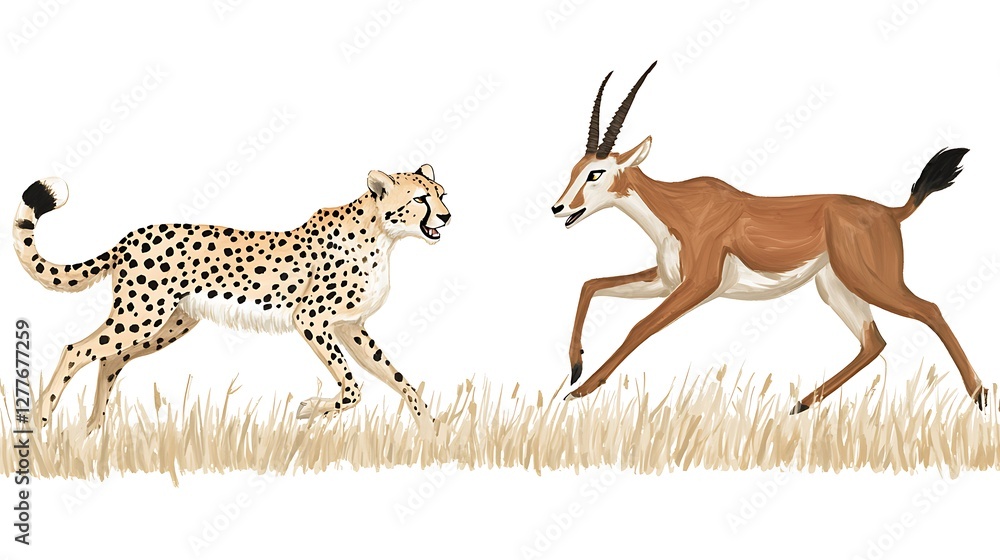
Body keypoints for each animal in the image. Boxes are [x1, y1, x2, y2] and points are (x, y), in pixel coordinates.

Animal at [552, 61, 985, 413]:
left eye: (596, 172)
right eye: (575, 168)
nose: (558, 208)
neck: (677, 208)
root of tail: (891, 212)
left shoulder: (698, 284)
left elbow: (638, 327)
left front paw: (579, 390)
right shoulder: (665, 281)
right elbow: (591, 284)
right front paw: (575, 368)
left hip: (872, 281)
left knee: (930, 310)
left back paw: (979, 396)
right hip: (836, 287)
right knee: (873, 342)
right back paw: (800, 405)